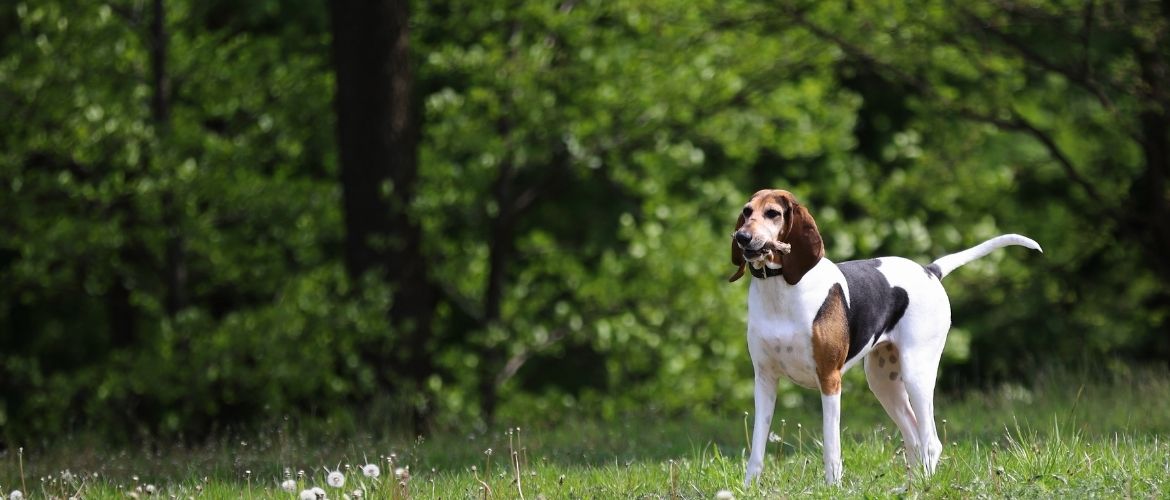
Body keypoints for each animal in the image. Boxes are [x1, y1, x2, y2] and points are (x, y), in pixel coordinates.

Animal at [730, 189, 1043, 487]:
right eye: (746, 211)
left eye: (773, 213)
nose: (742, 237)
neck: (780, 290)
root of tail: (929, 270)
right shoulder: (765, 380)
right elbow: (757, 447)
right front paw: (749, 487)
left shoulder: (829, 380)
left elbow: (831, 447)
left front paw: (832, 487)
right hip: (883, 382)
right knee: (914, 437)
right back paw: (911, 484)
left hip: (917, 374)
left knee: (931, 441)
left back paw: (924, 485)